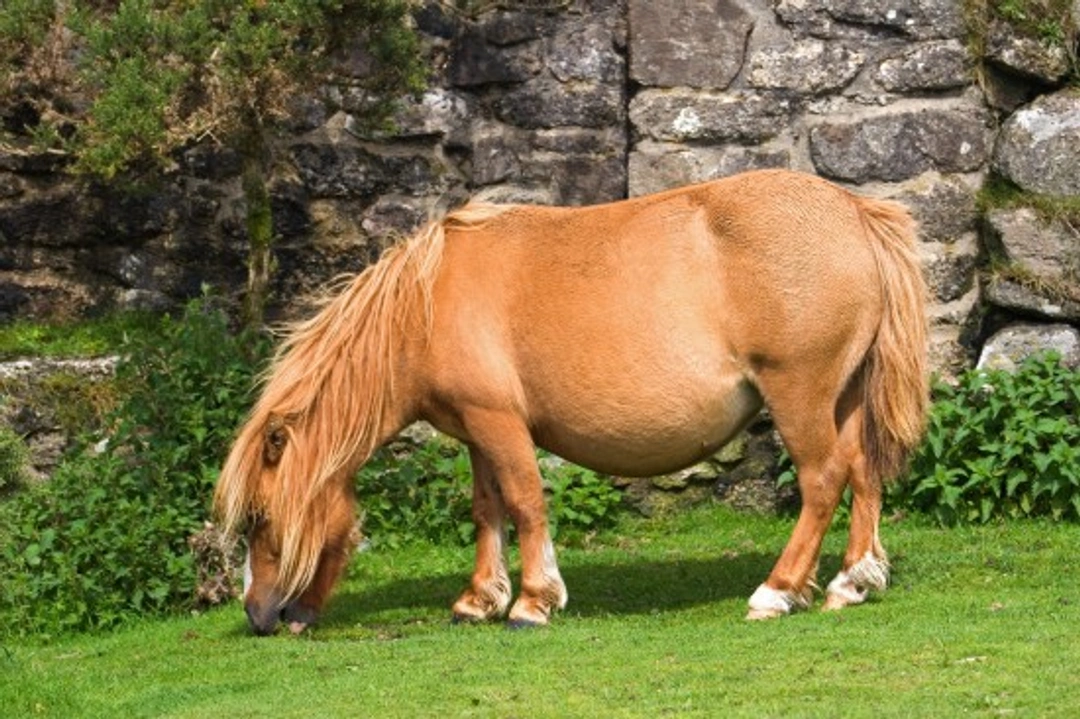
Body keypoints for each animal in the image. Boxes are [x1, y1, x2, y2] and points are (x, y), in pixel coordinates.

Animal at [214, 168, 929, 635]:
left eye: (259, 517)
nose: (260, 618)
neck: (425, 304)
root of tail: (852, 211)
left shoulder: (500, 425)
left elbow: (526, 503)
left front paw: (533, 601)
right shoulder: (476, 431)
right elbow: (488, 509)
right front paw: (479, 598)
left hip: (799, 396)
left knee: (823, 480)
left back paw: (777, 592)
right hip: (844, 398)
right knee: (863, 471)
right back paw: (851, 582)